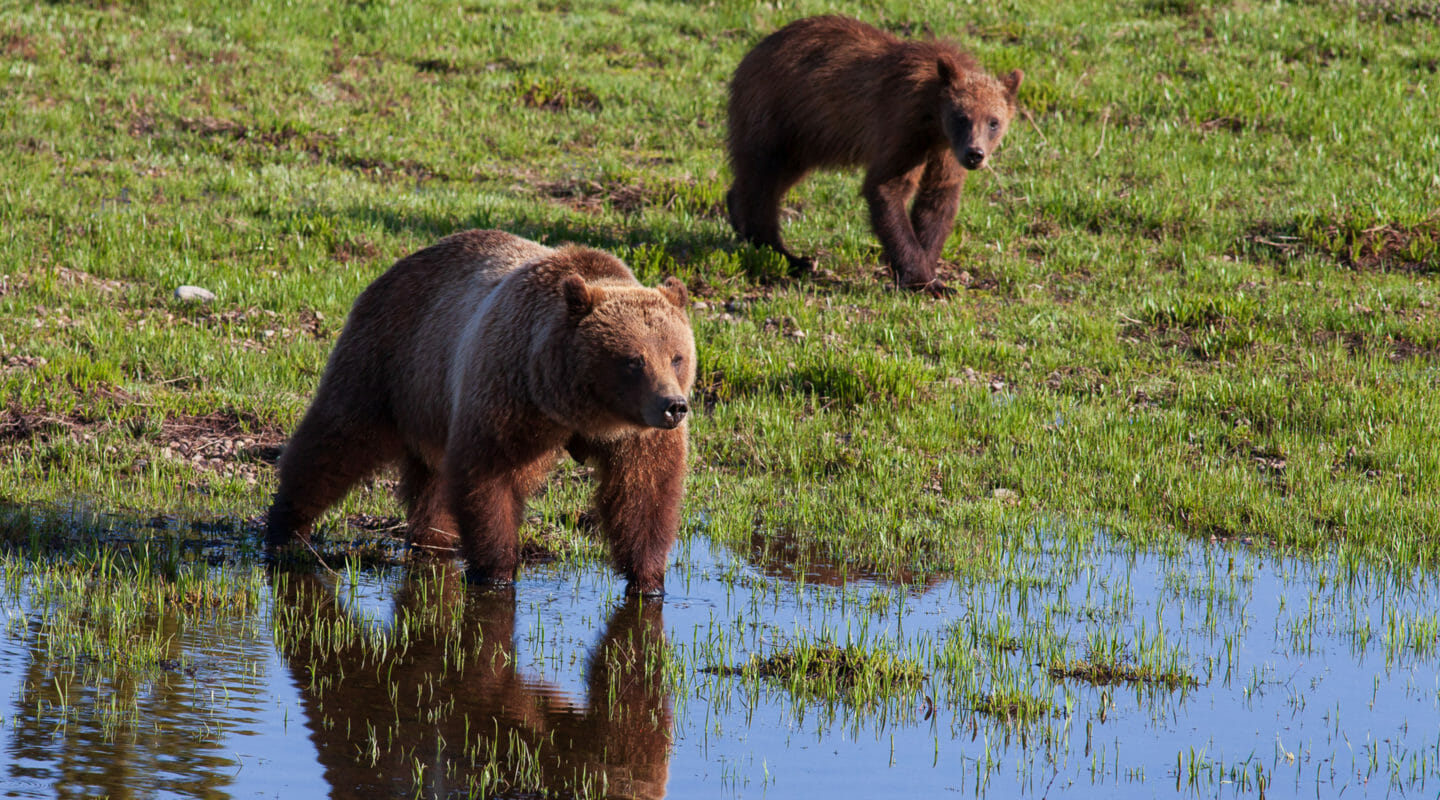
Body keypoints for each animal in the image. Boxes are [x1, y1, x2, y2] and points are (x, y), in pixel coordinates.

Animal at [272, 228, 699, 595]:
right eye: (633, 360)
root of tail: (399, 264)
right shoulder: (509, 393)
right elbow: (489, 476)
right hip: (386, 361)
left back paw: (433, 540)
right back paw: (287, 527)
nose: (673, 407)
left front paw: (648, 582)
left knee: (430, 478)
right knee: (336, 439)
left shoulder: (636, 436)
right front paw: (495, 573)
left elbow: (644, 493)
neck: (579, 411)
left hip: (430, 398)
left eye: (676, 356)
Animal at [725, 14, 1019, 296]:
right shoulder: (903, 128)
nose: (975, 154)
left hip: (806, 139)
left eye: (993, 122)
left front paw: (927, 268)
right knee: (762, 179)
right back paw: (788, 255)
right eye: (961, 117)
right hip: (777, 114)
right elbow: (887, 186)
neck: (933, 121)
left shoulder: (945, 153)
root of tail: (751, 52)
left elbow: (937, 200)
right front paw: (924, 281)